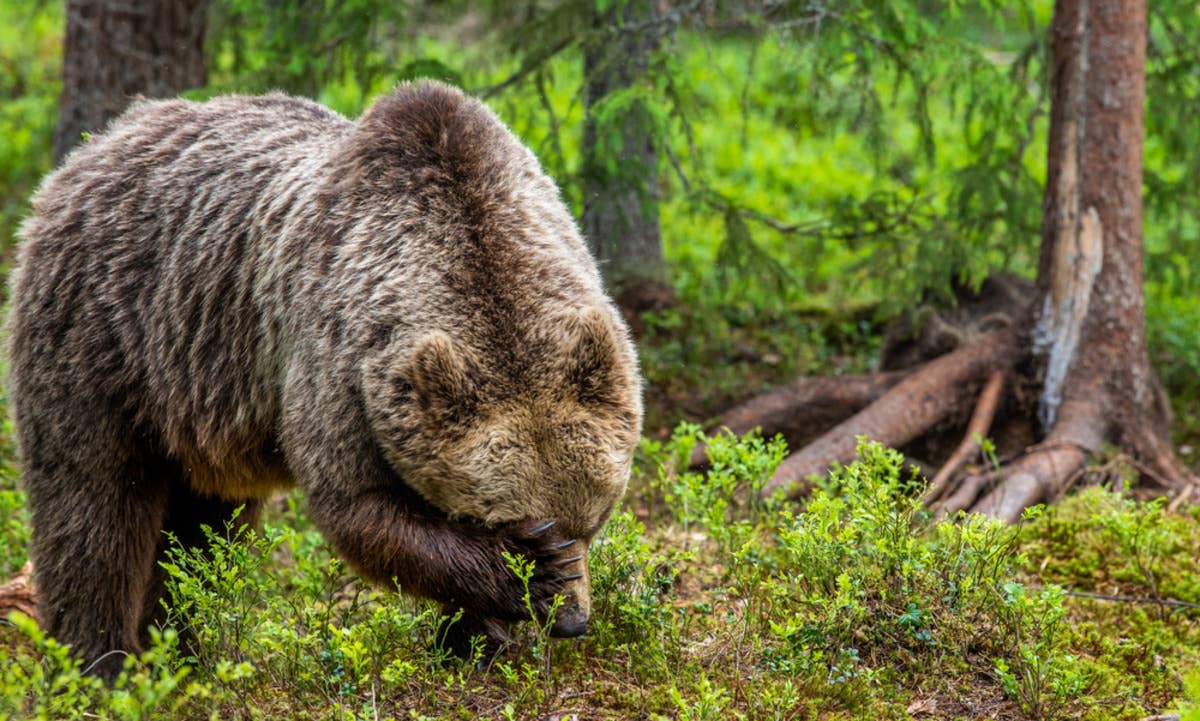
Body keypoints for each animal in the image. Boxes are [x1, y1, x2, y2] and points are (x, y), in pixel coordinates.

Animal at [7, 80, 643, 677]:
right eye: (510, 523)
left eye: (594, 521)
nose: (571, 621)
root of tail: (92, 148)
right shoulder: (339, 360)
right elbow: (359, 506)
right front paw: (518, 588)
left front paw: (470, 642)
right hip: (103, 337)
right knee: (94, 505)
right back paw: (101, 664)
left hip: (197, 403)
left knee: (204, 529)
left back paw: (187, 650)